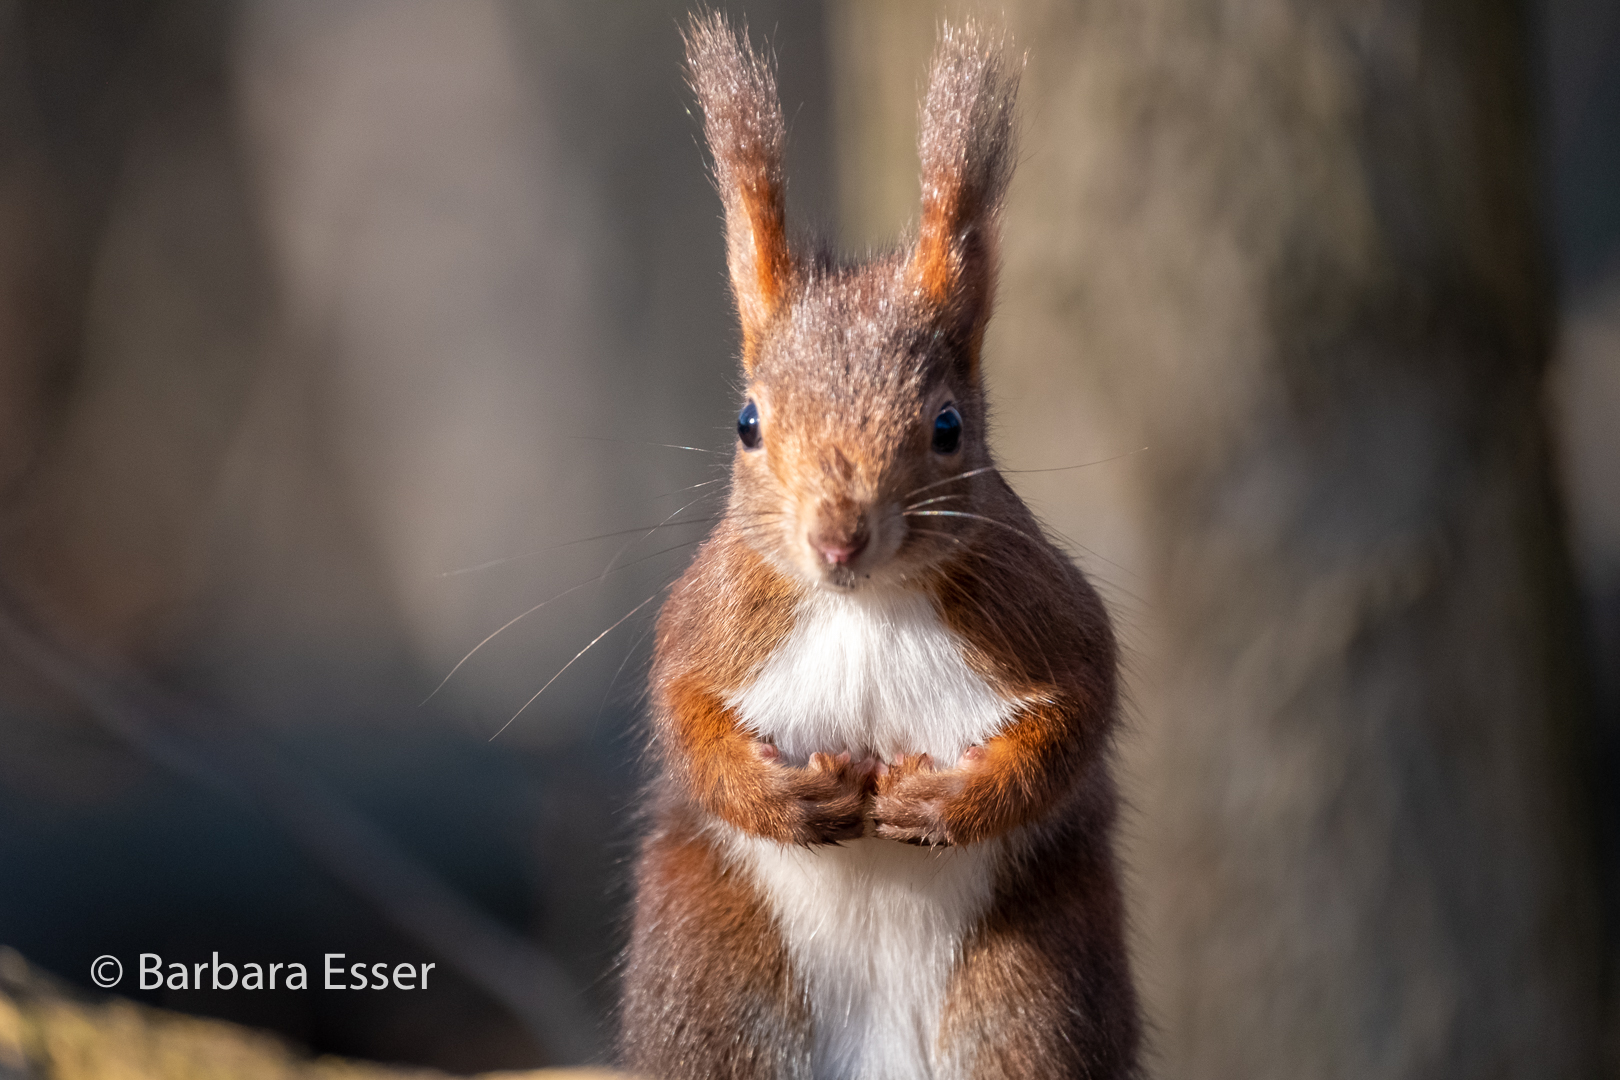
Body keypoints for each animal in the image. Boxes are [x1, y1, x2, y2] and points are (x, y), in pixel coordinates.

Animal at [618, 16, 1140, 1080]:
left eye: (947, 428)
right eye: (747, 422)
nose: (838, 538)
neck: (863, 606)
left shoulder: (1043, 615)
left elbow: (1075, 719)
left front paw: (940, 806)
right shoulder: (712, 625)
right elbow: (685, 717)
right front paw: (788, 802)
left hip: (1030, 990)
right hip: (712, 982)